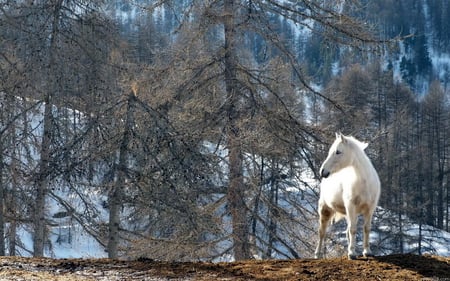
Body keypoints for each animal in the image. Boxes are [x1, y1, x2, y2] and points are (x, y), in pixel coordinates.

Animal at [314, 132, 382, 260]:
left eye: (338, 152)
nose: (322, 171)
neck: (364, 182)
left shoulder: (370, 209)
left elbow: (366, 228)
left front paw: (367, 251)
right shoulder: (351, 207)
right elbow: (353, 229)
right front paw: (352, 254)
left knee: (346, 232)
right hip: (325, 209)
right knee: (322, 232)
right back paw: (317, 254)